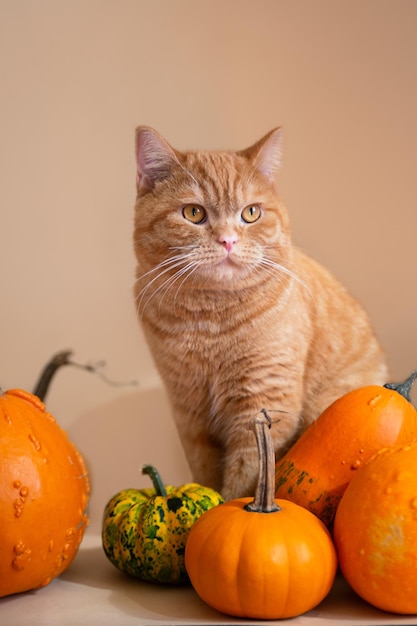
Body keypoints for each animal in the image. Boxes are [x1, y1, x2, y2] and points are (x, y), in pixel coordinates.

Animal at [133, 127, 386, 498]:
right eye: (193, 213)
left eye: (251, 213)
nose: (228, 241)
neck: (208, 319)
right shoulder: (190, 419)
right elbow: (206, 477)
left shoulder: (263, 404)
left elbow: (245, 478)